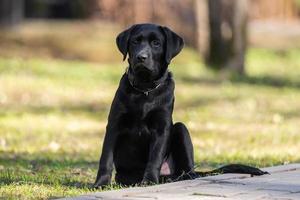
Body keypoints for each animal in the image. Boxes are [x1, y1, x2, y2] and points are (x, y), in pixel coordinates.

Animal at [94, 23, 268, 188]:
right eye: (135, 41)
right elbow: (106, 158)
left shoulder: (162, 128)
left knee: (187, 171)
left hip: (180, 129)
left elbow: (154, 158)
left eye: (156, 43)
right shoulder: (114, 125)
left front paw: (149, 181)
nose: (141, 57)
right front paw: (100, 184)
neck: (145, 89)